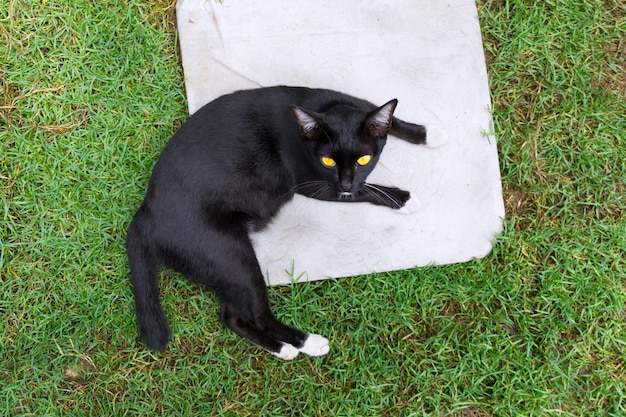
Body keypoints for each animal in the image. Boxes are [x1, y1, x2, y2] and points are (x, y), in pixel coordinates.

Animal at [126, 86, 424, 360]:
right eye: (327, 160)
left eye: (363, 158)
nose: (346, 182)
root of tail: (145, 212)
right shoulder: (315, 184)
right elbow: (365, 191)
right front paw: (403, 198)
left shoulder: (349, 98)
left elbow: (381, 112)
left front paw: (422, 133)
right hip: (229, 254)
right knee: (259, 316)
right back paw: (308, 343)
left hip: (222, 263)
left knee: (231, 315)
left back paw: (282, 349)